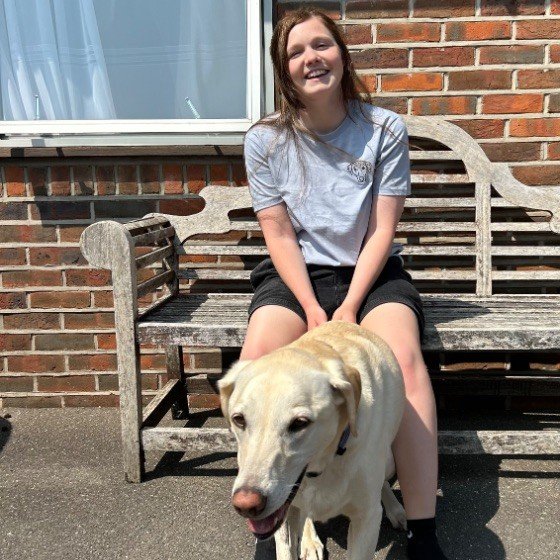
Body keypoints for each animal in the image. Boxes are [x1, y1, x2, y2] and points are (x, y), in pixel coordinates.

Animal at [218, 321, 406, 560]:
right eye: (239, 419)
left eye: (300, 423)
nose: (246, 505)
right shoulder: (283, 514)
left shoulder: (367, 519)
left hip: (390, 461)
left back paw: (394, 508)